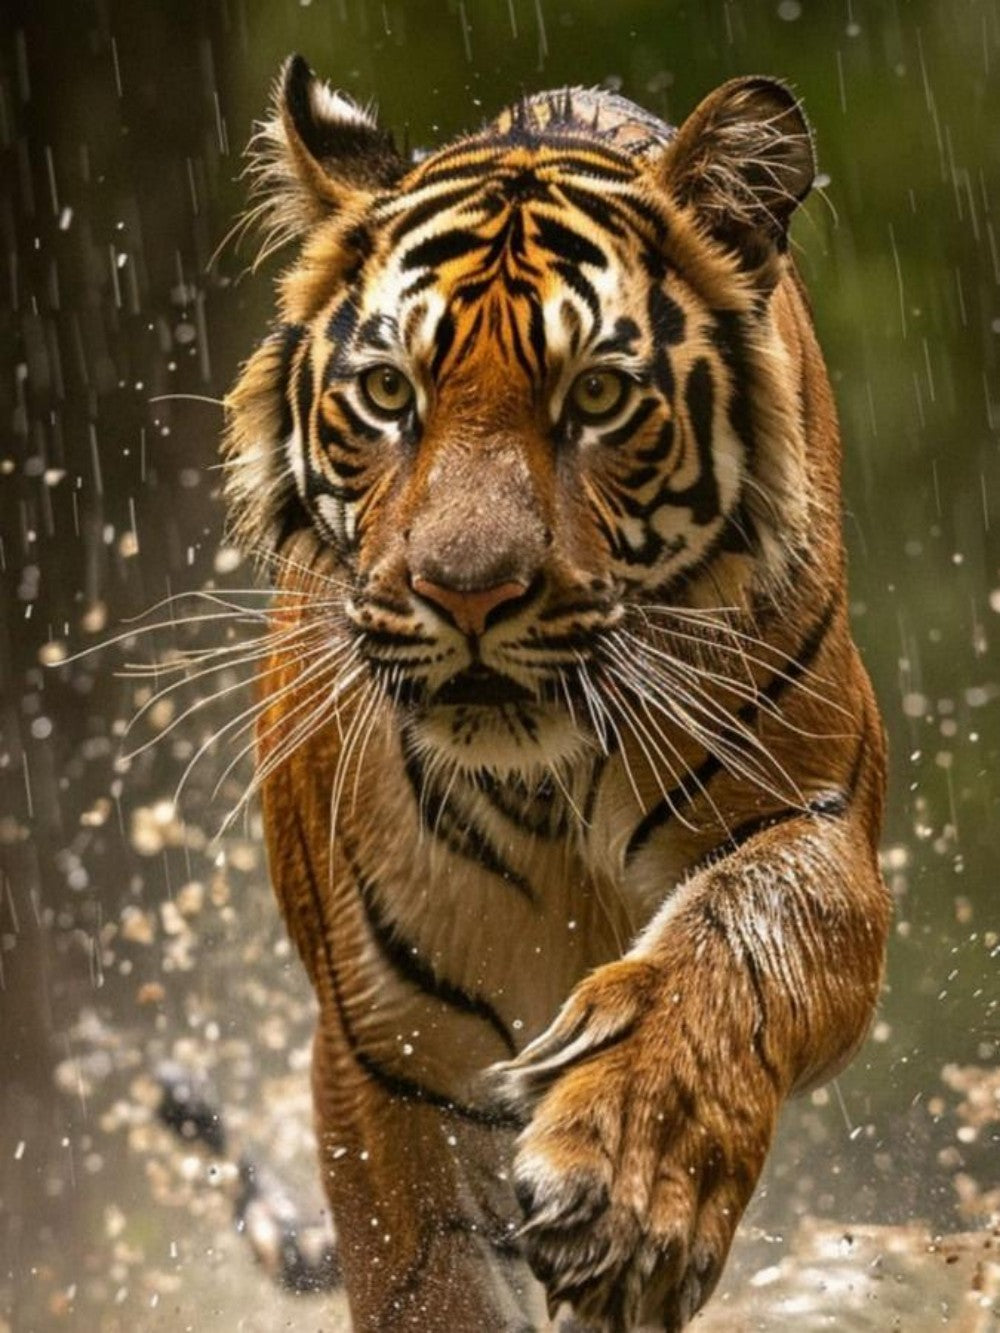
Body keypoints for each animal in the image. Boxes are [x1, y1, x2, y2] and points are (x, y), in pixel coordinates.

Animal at [221, 54, 890, 1332]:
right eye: (388, 392)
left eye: (597, 397)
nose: (467, 590)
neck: (545, 781)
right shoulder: (385, 1053)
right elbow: (430, 1277)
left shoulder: (818, 824)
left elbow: (741, 933)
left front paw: (627, 1191)